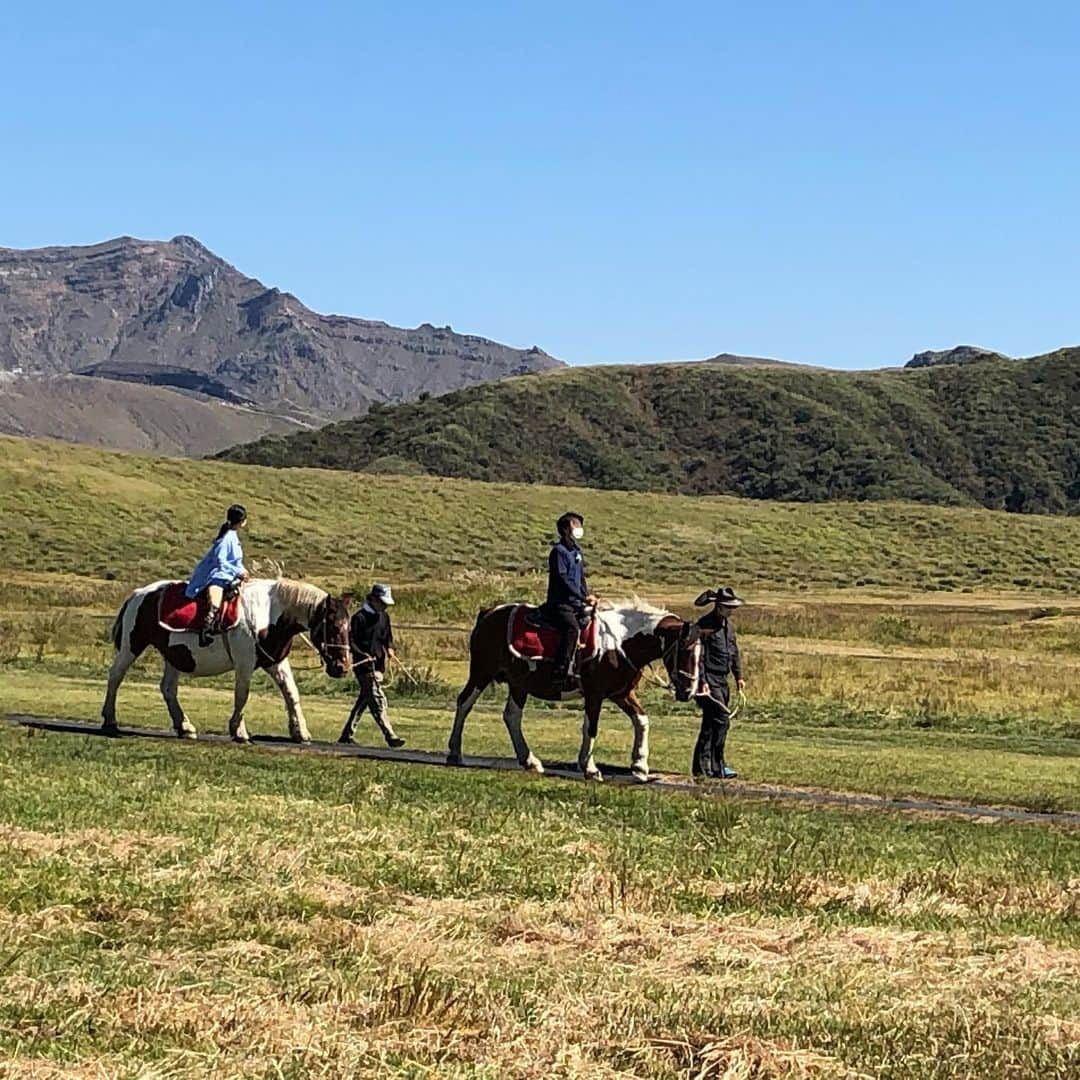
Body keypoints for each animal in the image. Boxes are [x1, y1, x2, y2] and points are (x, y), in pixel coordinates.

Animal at [101, 583, 349, 743]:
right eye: (333, 626)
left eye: (348, 627)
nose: (343, 668)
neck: (268, 614)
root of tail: (138, 594)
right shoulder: (244, 663)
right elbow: (242, 695)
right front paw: (238, 731)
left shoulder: (277, 662)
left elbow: (291, 693)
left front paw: (300, 732)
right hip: (132, 646)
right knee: (115, 676)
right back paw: (110, 720)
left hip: (174, 656)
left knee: (168, 689)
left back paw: (185, 726)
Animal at [447, 600, 699, 786]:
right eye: (685, 649)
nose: (688, 691)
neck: (619, 642)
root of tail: (489, 613)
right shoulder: (595, 694)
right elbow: (591, 727)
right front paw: (590, 768)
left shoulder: (622, 694)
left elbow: (642, 721)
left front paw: (640, 766)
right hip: (482, 673)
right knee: (465, 703)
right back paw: (454, 752)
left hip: (519, 685)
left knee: (511, 716)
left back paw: (530, 761)